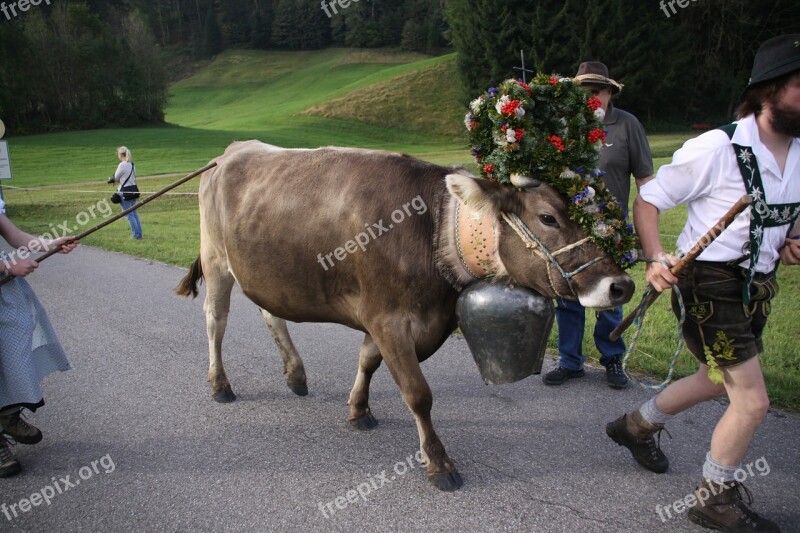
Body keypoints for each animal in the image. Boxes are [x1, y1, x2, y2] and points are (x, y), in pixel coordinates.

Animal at [178, 141, 636, 490]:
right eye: (547, 217)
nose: (621, 286)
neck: (434, 229)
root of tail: (231, 151)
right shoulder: (387, 317)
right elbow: (418, 393)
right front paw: (439, 463)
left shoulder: (390, 318)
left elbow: (368, 361)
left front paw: (359, 410)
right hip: (216, 259)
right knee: (215, 320)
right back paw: (220, 384)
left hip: (264, 270)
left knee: (270, 313)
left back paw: (296, 374)